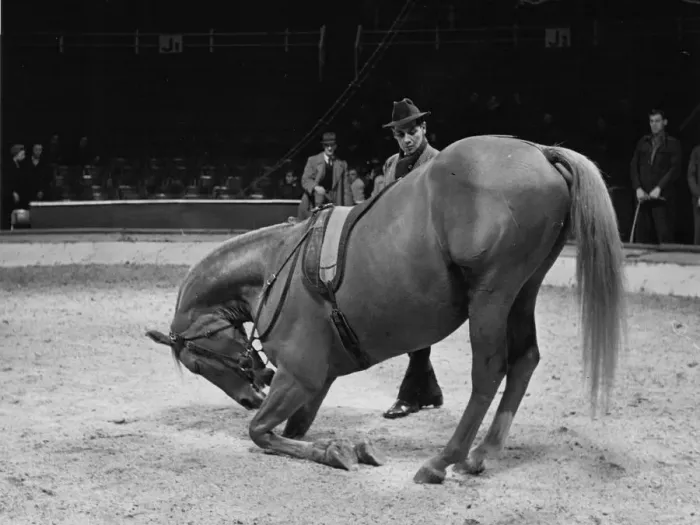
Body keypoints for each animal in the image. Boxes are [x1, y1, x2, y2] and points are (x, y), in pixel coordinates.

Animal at [146, 135, 626, 485]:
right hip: (523, 292)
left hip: (492, 296)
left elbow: (260, 432)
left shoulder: (299, 377)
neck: (273, 266)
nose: (249, 396)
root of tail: (537, 151)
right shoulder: (315, 383)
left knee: (489, 371)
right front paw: (350, 446)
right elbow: (290, 430)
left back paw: (442, 460)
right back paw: (481, 454)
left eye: (197, 363)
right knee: (525, 359)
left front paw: (337, 451)